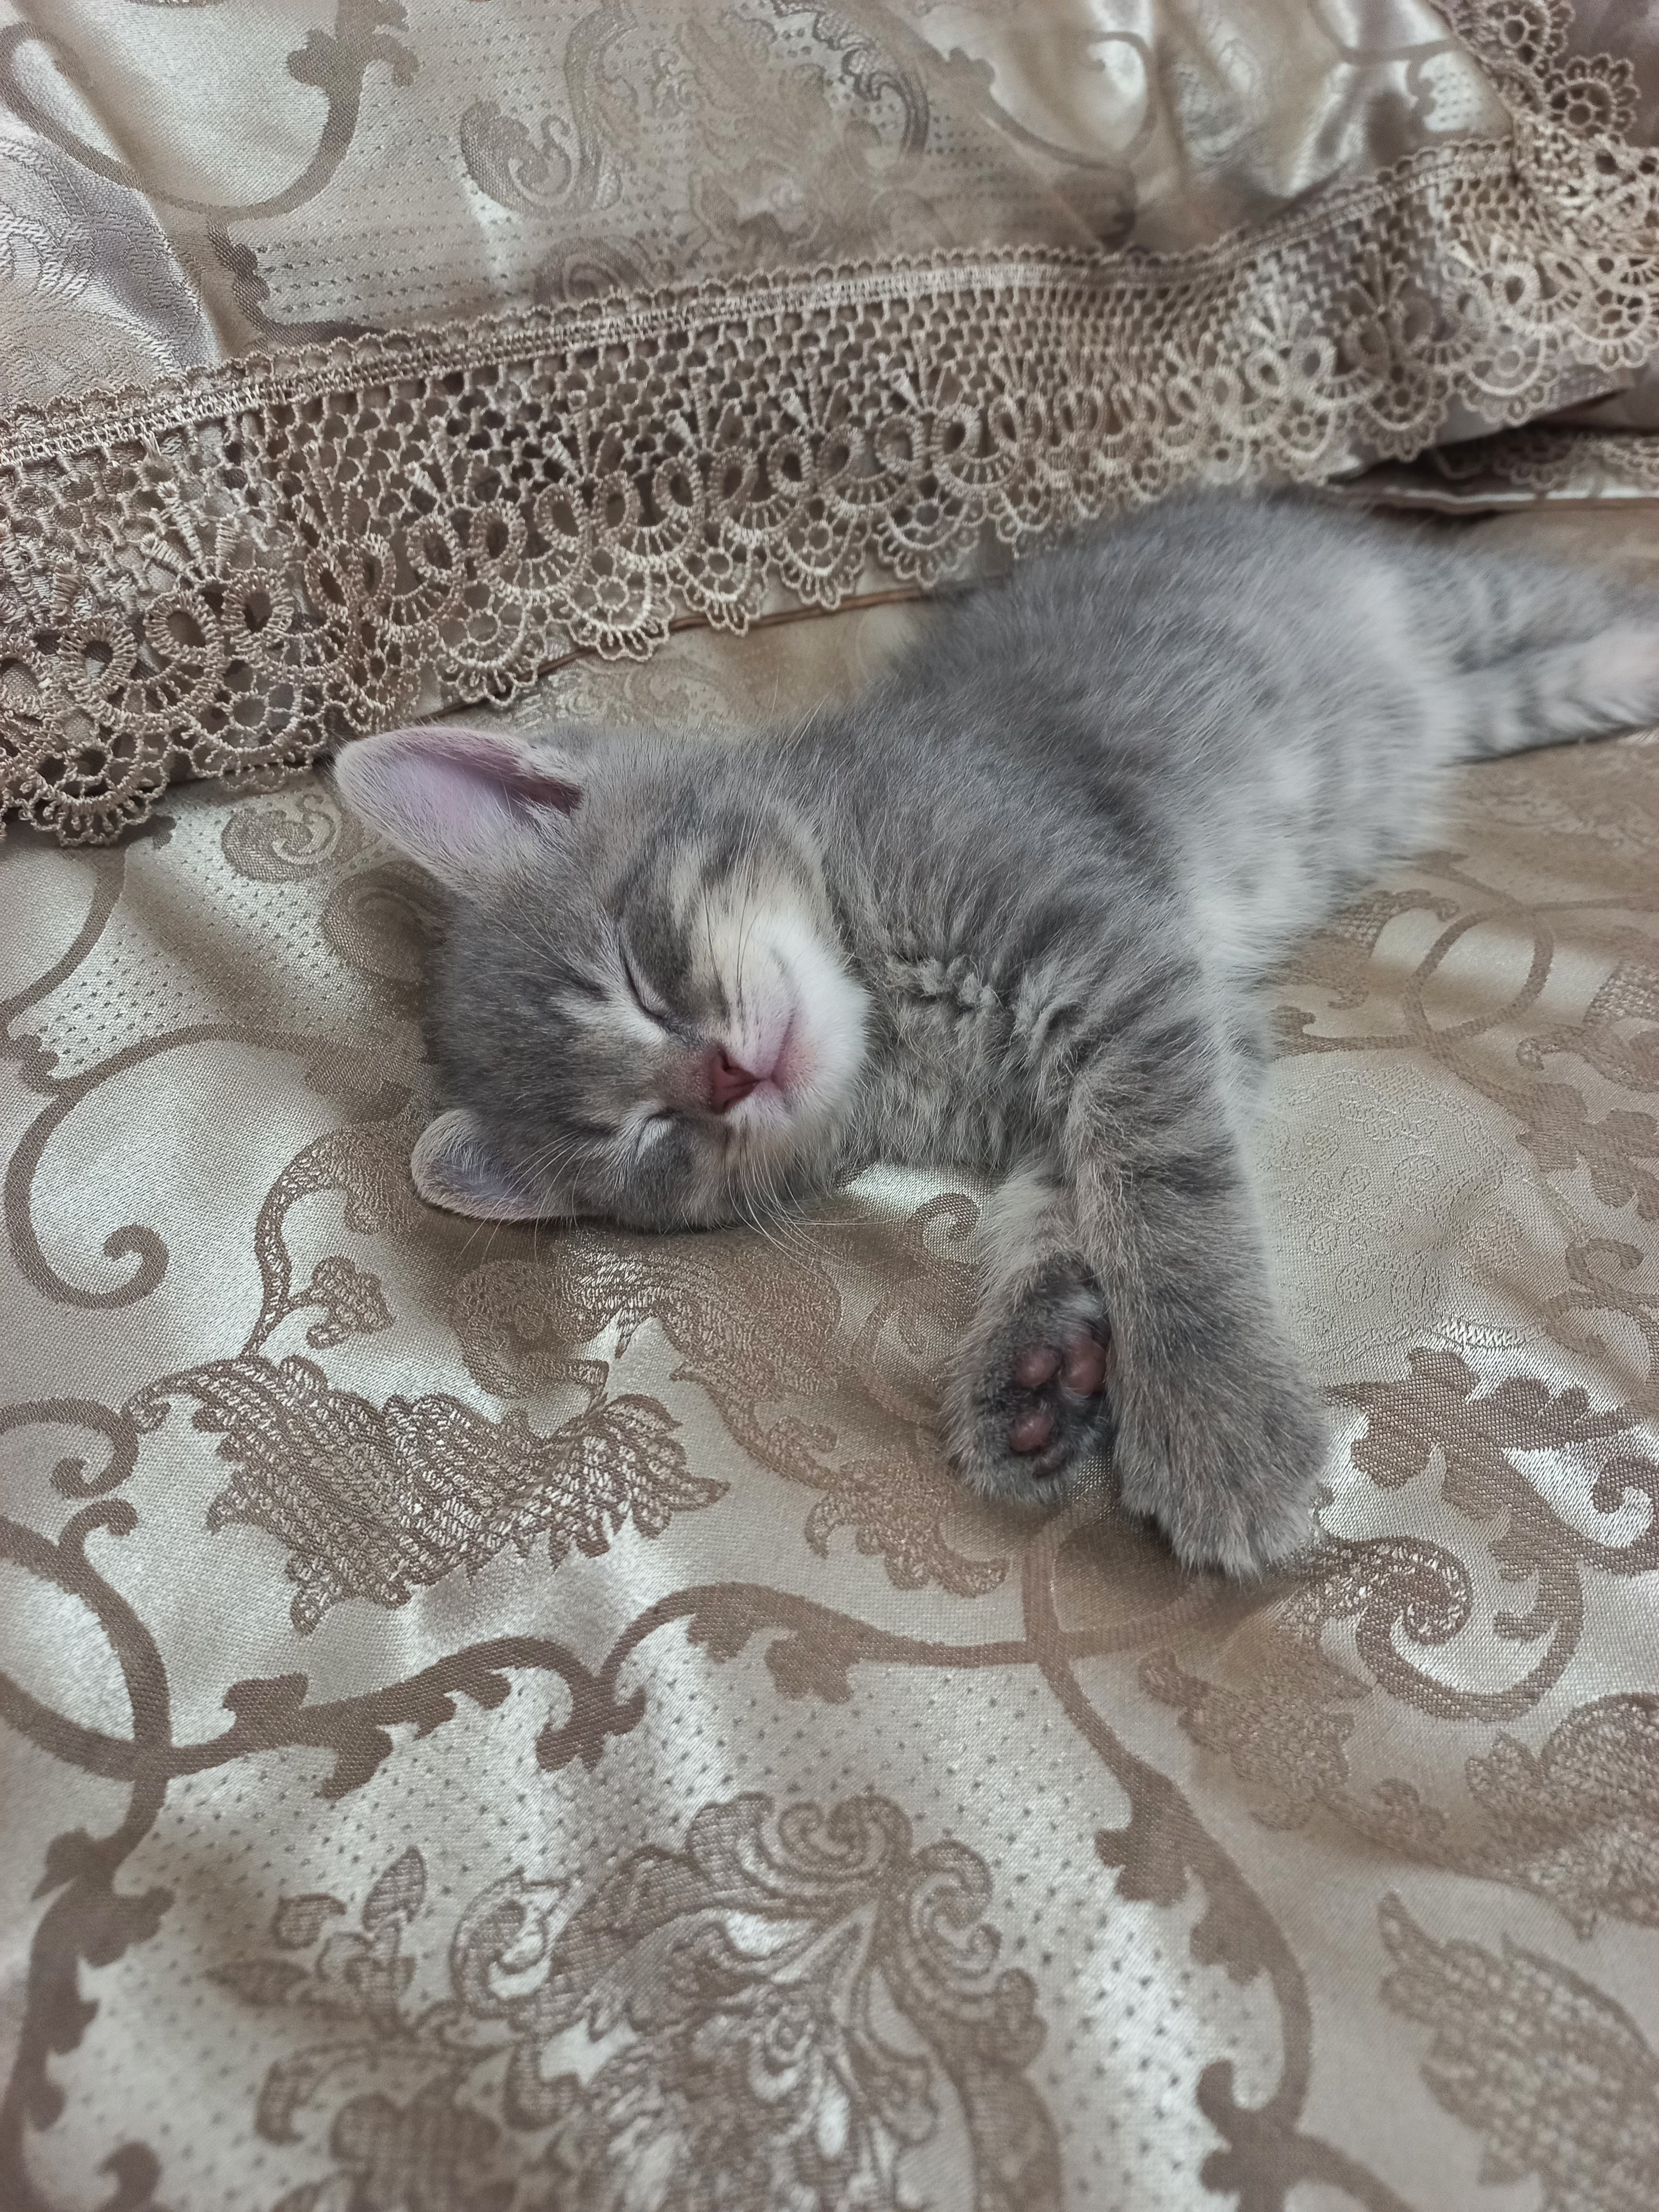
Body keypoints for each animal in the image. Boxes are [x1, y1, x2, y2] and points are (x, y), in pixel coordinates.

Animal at [335, 493, 1659, 1576]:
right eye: (651, 1142)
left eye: (637, 972)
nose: (723, 1073)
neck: (889, 1012)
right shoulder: (1134, 1042)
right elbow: (1072, 1203)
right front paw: (1041, 1362)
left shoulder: (1119, 966)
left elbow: (1168, 1202)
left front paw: (1216, 1419)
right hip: (1459, 712)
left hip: (1441, 594)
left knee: (1552, 591)